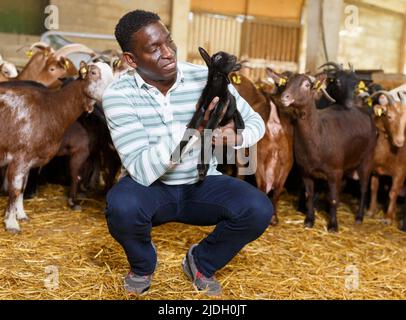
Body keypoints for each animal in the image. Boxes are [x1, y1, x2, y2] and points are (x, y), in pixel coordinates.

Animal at [0, 62, 112, 232]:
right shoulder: (20, 157)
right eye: (93, 73)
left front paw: (21, 215)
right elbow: (16, 189)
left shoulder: (29, 160)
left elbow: (23, 187)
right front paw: (11, 223)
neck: (52, 109)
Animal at [280, 73, 376, 231]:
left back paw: (359, 217)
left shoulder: (334, 172)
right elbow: (309, 195)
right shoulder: (305, 171)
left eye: (306, 85)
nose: (284, 97)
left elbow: (333, 199)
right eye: (287, 83)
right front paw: (309, 220)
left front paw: (333, 225)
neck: (319, 132)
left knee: (363, 188)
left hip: (367, 159)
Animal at [366, 90, 406, 225]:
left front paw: (388, 218)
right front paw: (371, 211)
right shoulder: (374, 169)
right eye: (389, 116)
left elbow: (393, 192)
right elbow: (373, 188)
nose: (400, 141)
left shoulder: (401, 172)